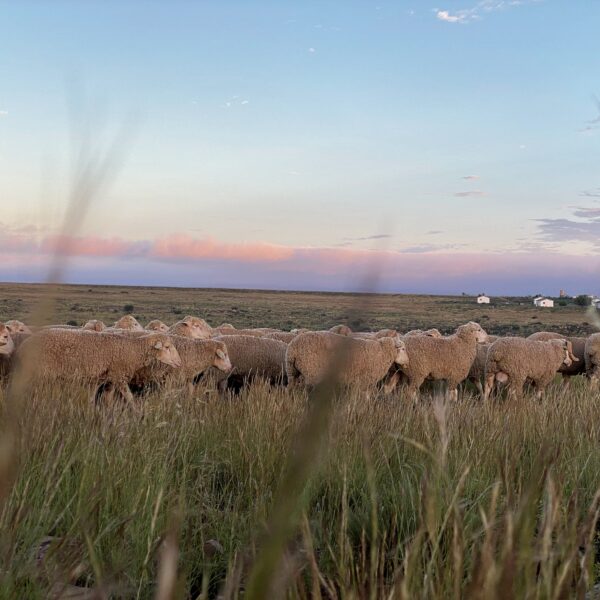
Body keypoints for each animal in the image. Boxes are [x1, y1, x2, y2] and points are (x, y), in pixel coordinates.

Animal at [18, 328, 183, 404]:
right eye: (167, 347)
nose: (179, 362)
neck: (133, 349)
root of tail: (24, 346)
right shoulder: (119, 377)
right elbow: (130, 398)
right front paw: (139, 415)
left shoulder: (108, 380)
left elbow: (105, 399)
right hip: (40, 373)